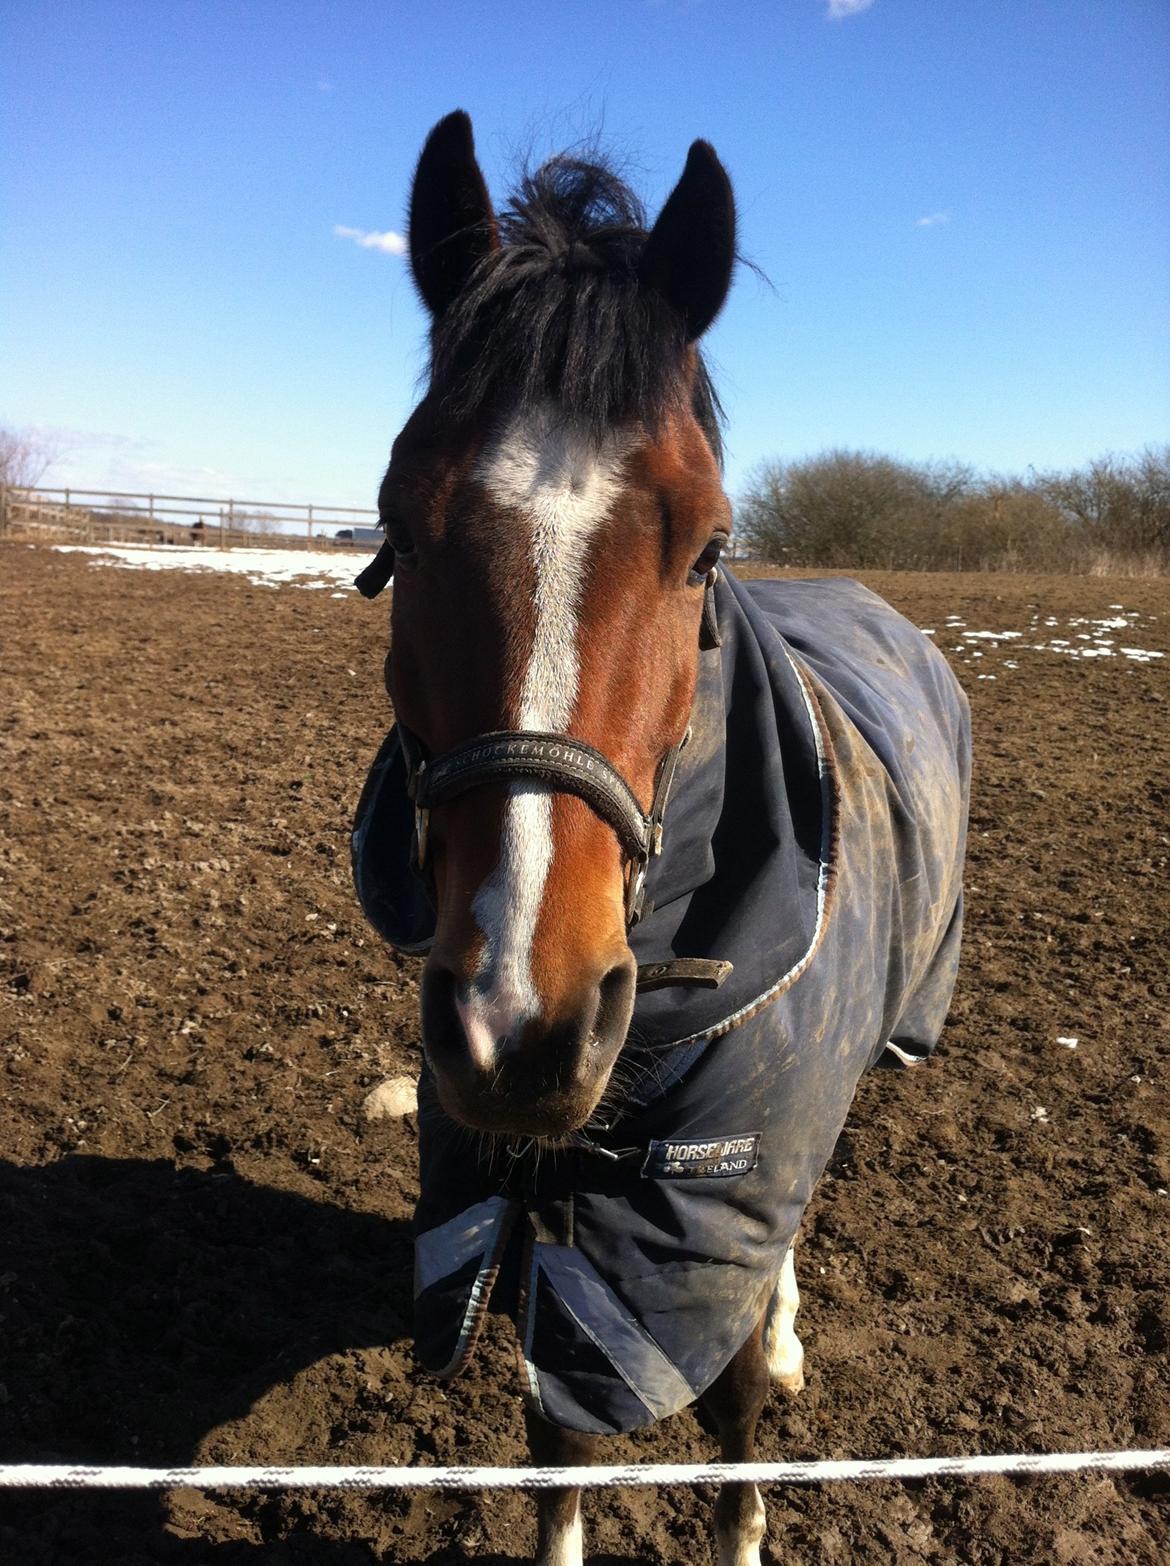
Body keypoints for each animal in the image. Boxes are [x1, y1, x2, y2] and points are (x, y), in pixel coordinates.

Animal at [350, 113, 971, 1566]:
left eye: (703, 548)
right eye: (400, 523)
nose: (524, 1022)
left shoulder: (716, 1189)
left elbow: (733, 1409)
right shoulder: (537, 1189)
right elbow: (559, 1438)